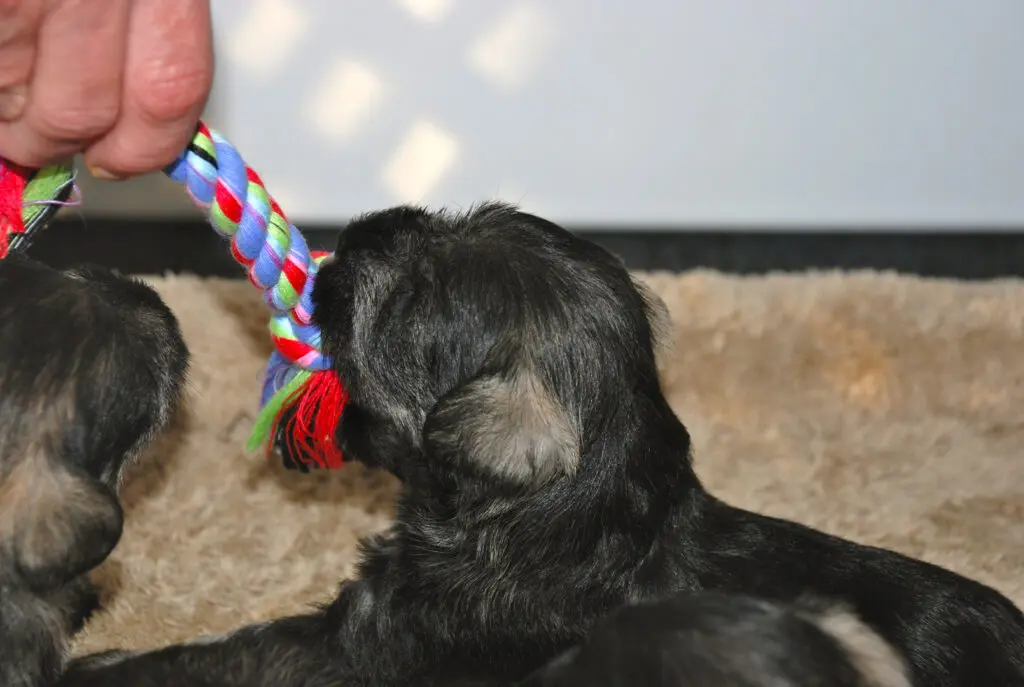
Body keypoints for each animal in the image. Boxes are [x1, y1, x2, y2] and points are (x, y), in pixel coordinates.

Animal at [59, 201, 1024, 683]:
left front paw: (100, 663)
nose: (359, 232)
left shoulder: (355, 648)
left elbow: (224, 652)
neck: (553, 522)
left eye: (405, 301)